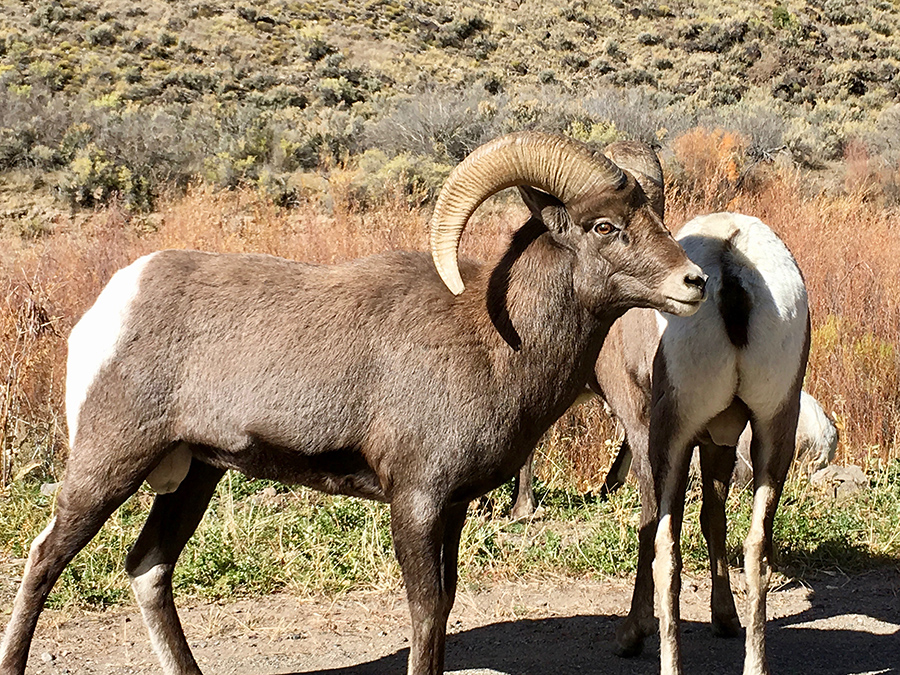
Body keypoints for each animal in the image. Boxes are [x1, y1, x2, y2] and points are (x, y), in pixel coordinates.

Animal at [0, 133, 712, 675]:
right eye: (604, 226)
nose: (695, 282)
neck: (497, 339)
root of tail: (110, 306)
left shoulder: (452, 508)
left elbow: (444, 606)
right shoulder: (416, 501)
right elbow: (426, 613)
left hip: (194, 473)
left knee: (148, 569)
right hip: (109, 464)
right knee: (43, 562)